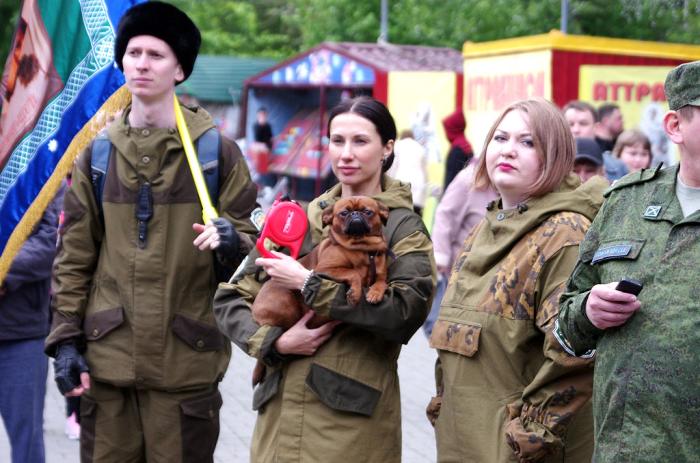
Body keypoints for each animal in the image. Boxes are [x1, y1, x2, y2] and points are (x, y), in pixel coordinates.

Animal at [252, 196, 392, 330]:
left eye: (368, 212)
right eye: (344, 213)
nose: (355, 214)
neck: (362, 249)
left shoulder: (380, 275)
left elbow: (381, 283)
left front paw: (375, 292)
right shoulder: (325, 269)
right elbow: (353, 273)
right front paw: (355, 293)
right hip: (286, 304)